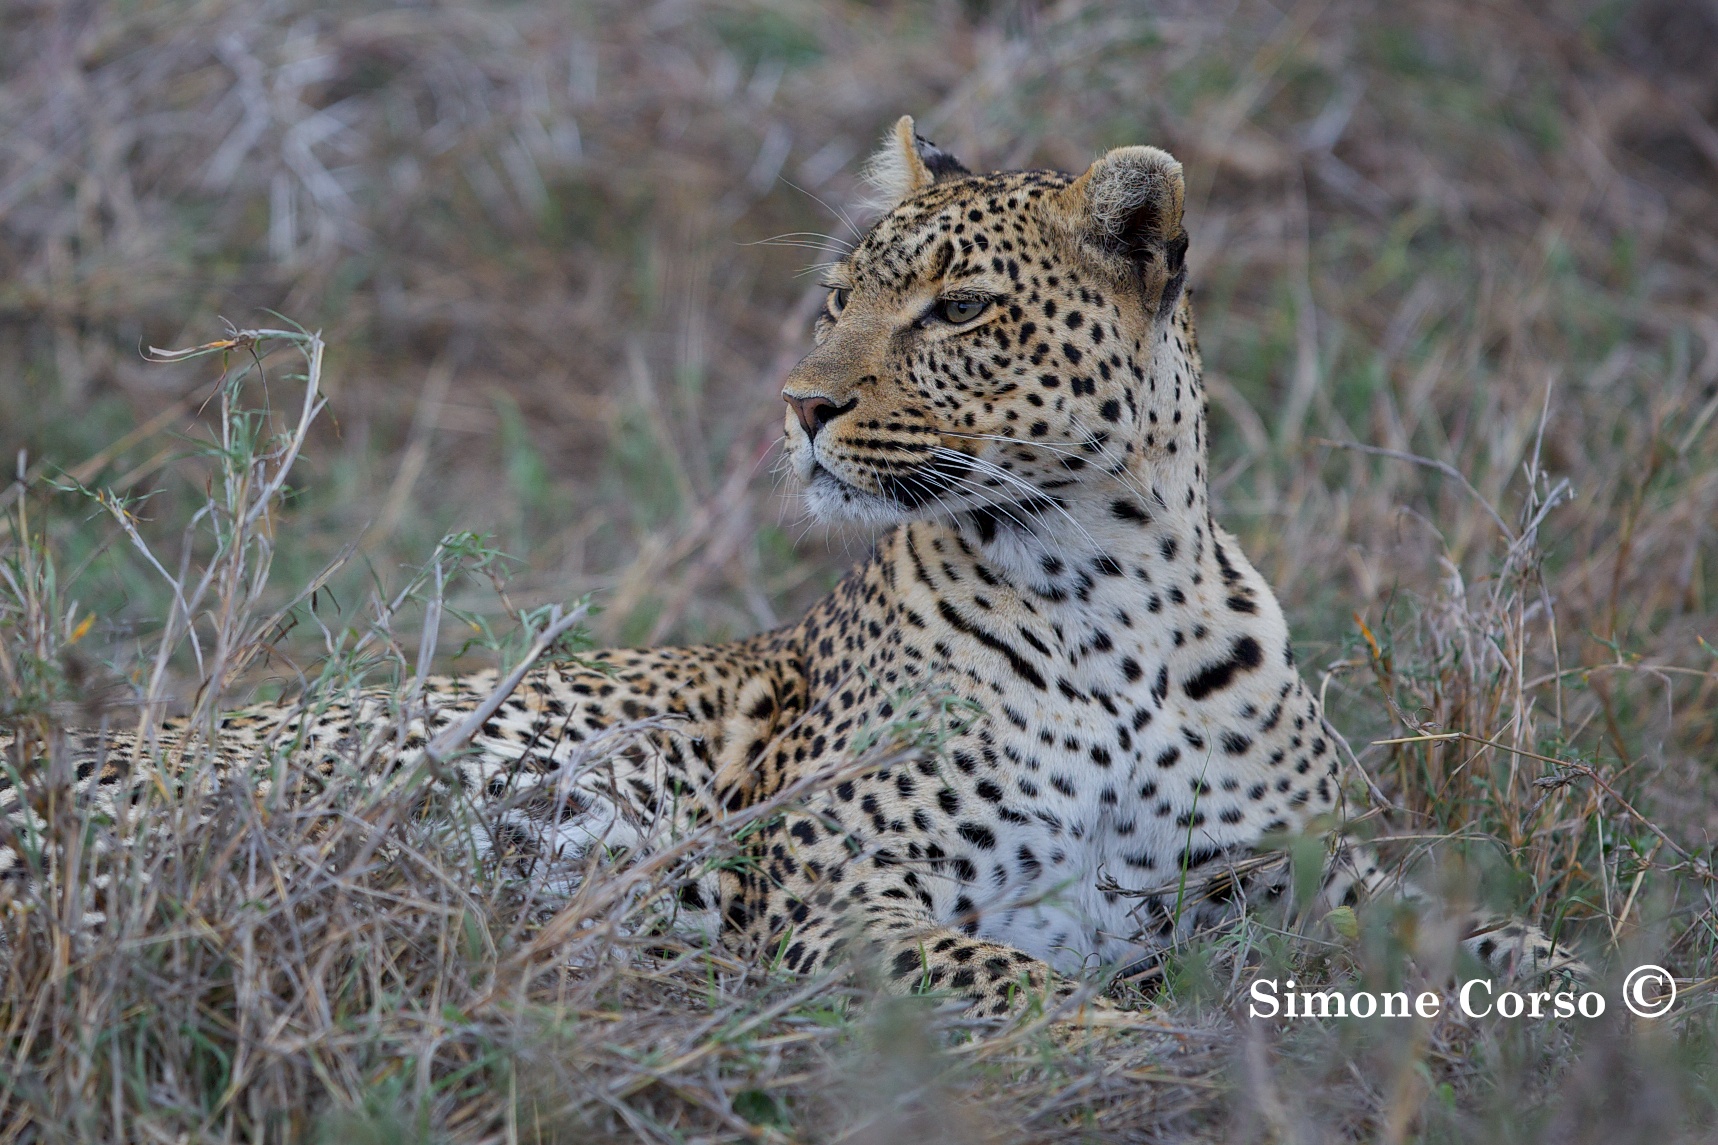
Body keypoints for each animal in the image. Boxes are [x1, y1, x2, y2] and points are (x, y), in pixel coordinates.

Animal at [0, 117, 1578, 1018]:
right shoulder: (836, 891)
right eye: (836, 297)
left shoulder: (1291, 872)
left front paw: (1598, 1009)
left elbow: (1485, 931)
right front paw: (1123, 1043)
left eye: (956, 310)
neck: (1107, 586)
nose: (800, 405)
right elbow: (1031, 989)